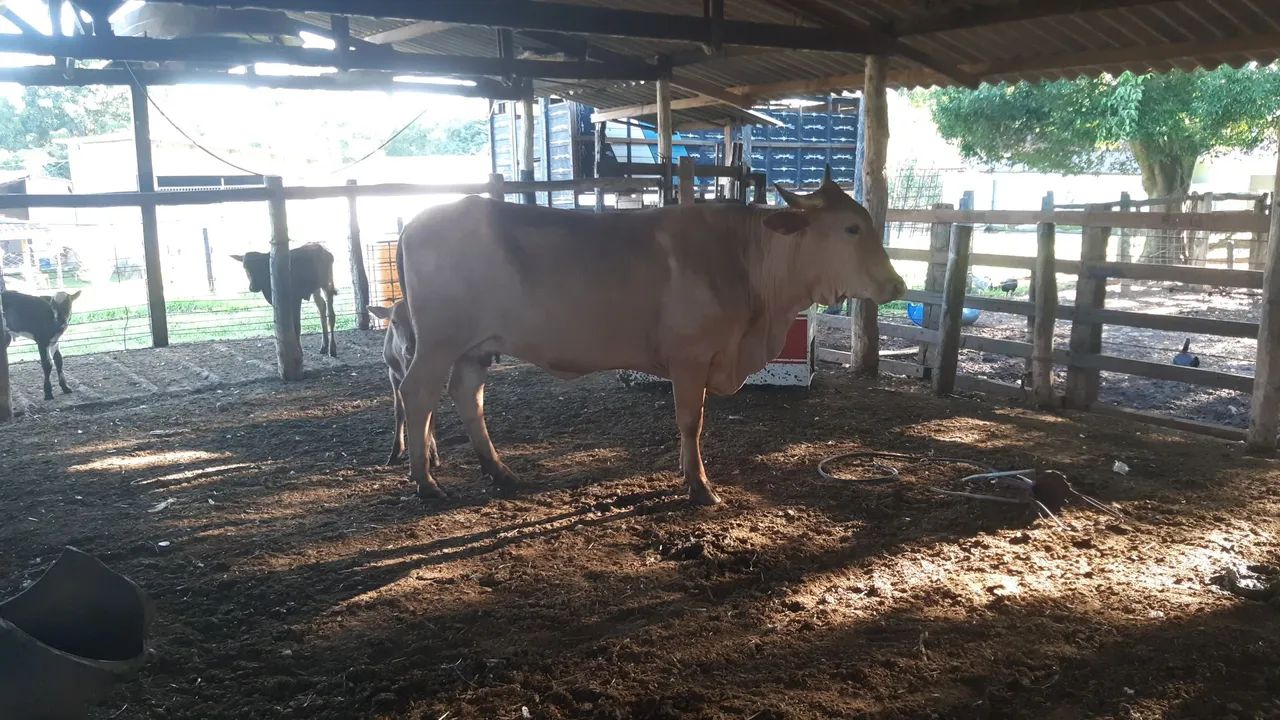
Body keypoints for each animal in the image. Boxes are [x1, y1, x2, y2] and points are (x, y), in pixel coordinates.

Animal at [367, 300, 438, 468]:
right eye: (394, 321)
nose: (411, 347)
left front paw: (431, 453)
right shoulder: (393, 375)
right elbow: (399, 410)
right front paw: (395, 452)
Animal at [395, 167, 905, 505]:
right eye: (851, 227)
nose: (898, 285)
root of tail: (420, 219)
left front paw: (687, 473)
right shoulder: (690, 355)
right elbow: (691, 420)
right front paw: (699, 486)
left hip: (475, 346)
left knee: (468, 396)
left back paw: (499, 471)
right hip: (439, 340)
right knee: (416, 393)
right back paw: (426, 483)